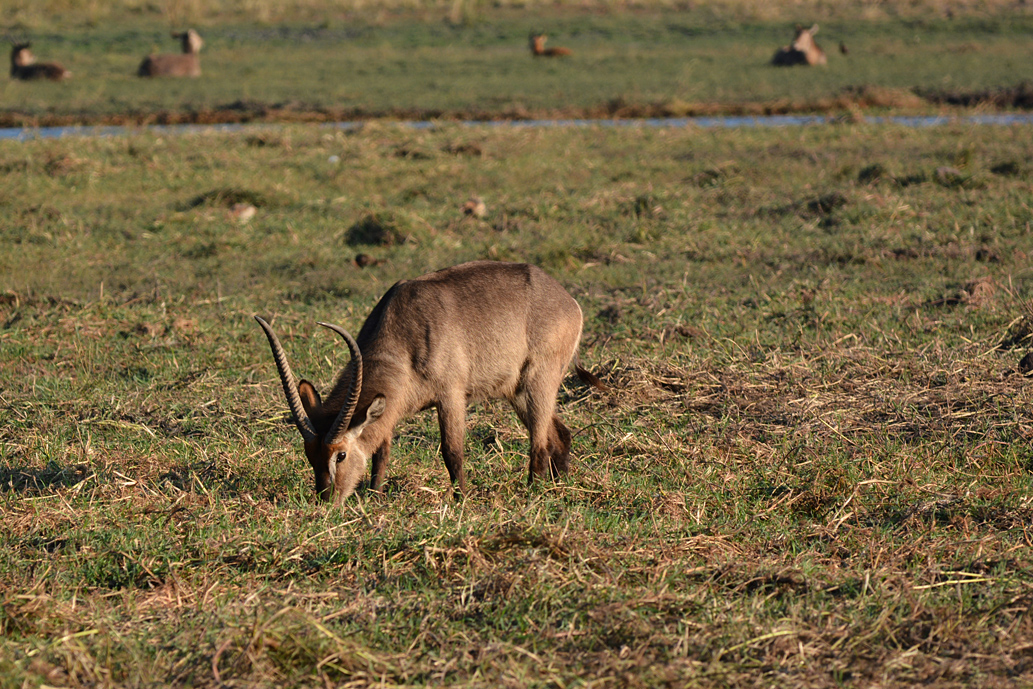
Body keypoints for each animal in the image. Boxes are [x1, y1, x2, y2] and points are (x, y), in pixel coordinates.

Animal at [256, 261, 605, 505]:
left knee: (539, 443)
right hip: (517, 391)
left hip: (538, 381)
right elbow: (382, 451)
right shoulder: (391, 404)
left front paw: (461, 500)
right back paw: (559, 486)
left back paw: (533, 490)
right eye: (309, 453)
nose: (326, 500)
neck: (402, 329)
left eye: (340, 454)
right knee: (559, 435)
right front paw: (375, 495)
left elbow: (452, 451)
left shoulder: (450, 395)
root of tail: (568, 300)